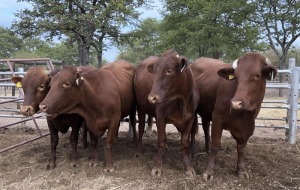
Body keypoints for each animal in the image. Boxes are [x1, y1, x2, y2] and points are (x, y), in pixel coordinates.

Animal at [146, 49, 200, 177]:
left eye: (169, 70)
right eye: (154, 71)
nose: (152, 98)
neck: (181, 101)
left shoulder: (190, 118)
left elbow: (184, 142)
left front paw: (189, 167)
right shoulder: (160, 116)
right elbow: (161, 140)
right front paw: (157, 167)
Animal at [191, 52, 278, 180]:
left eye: (257, 75)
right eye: (236, 76)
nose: (236, 103)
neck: (243, 115)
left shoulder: (248, 126)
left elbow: (241, 149)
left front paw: (241, 170)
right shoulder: (217, 118)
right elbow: (216, 145)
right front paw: (208, 172)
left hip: (206, 111)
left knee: (205, 127)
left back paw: (207, 148)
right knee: (193, 130)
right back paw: (193, 150)